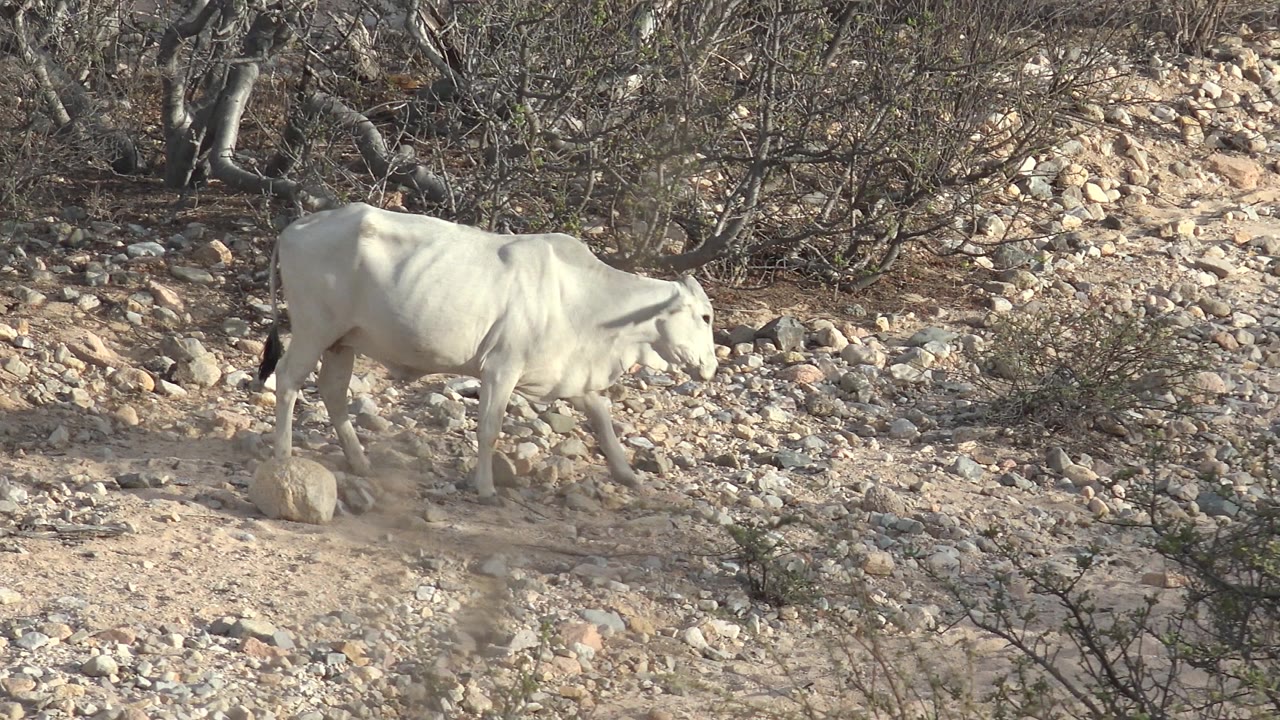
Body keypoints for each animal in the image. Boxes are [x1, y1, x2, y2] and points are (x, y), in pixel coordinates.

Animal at [256, 202, 719, 499]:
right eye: (706, 317)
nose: (711, 367)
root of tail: (294, 227)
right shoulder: (501, 368)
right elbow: (489, 430)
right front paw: (484, 488)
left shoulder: (569, 375)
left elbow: (602, 417)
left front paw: (627, 474)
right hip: (315, 328)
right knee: (288, 380)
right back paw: (283, 454)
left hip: (342, 341)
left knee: (333, 393)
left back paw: (360, 462)